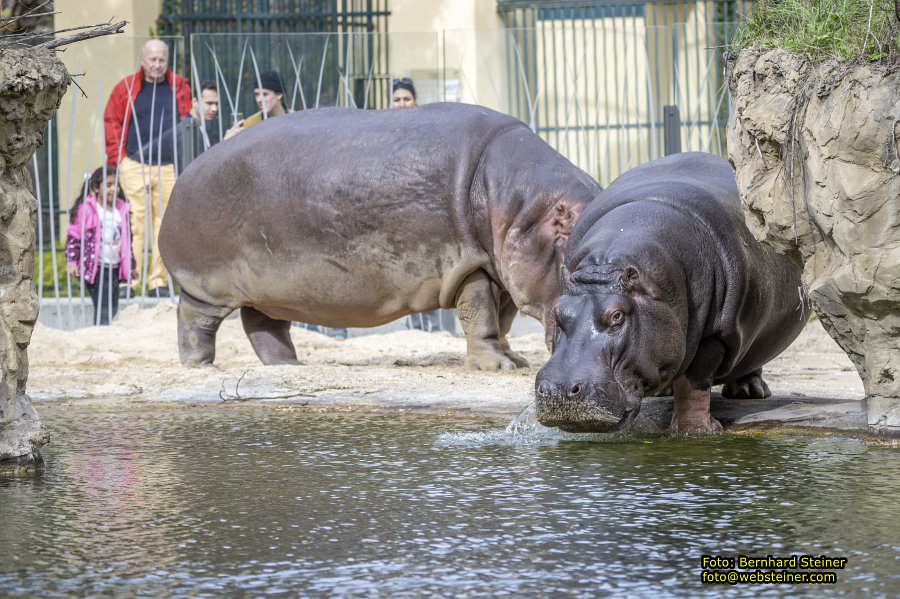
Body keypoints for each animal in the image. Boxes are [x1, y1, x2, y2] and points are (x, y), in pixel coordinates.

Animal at [159, 101, 600, 368]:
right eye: (580, 260)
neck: (522, 207)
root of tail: (187, 172)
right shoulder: (471, 263)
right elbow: (481, 315)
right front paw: (501, 365)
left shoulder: (501, 268)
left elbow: (501, 320)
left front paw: (512, 359)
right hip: (209, 285)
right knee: (194, 319)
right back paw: (200, 365)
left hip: (269, 288)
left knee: (263, 326)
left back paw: (290, 366)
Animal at [536, 152, 808, 434]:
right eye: (557, 312)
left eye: (618, 316)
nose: (559, 389)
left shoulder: (714, 336)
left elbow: (693, 383)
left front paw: (697, 432)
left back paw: (748, 390)